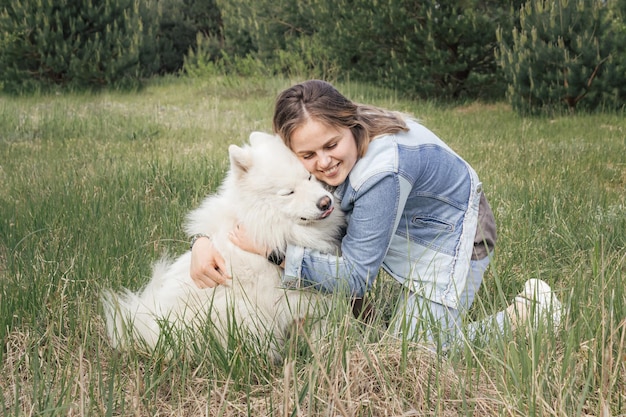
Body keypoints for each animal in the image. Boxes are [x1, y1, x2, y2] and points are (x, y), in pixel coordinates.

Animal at [104, 131, 344, 360]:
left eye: (309, 177)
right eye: (288, 192)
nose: (326, 202)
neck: (264, 225)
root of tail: (148, 336)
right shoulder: (290, 298)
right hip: (237, 310)